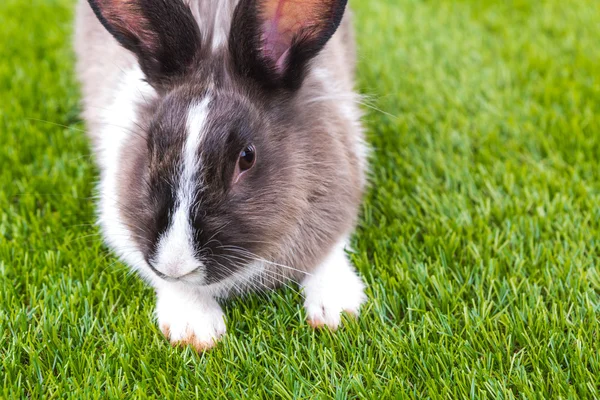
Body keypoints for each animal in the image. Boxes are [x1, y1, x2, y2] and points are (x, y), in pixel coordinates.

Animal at [74, 0, 366, 350]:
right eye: (150, 143)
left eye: (247, 157)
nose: (176, 265)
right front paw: (195, 330)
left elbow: (330, 250)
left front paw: (336, 310)